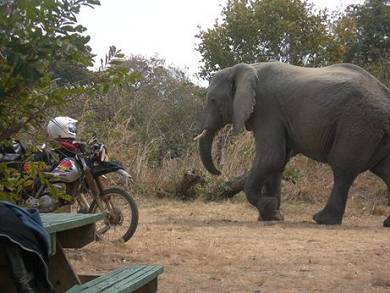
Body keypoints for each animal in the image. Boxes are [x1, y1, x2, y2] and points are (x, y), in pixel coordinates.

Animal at [195, 62, 390, 226]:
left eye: (212, 100)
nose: (219, 172)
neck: (247, 67)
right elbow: (278, 162)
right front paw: (272, 216)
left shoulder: (267, 109)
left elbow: (271, 157)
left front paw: (269, 207)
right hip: (372, 129)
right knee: (383, 169)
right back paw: (386, 223)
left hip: (358, 123)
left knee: (343, 168)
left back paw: (323, 220)